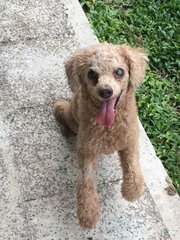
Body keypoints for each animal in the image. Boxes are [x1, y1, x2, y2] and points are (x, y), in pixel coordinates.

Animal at [53, 43, 148, 229]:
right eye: (92, 74)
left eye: (119, 72)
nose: (105, 91)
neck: (109, 127)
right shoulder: (87, 150)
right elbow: (87, 181)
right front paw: (88, 213)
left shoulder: (130, 141)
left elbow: (133, 166)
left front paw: (131, 191)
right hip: (70, 116)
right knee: (60, 110)